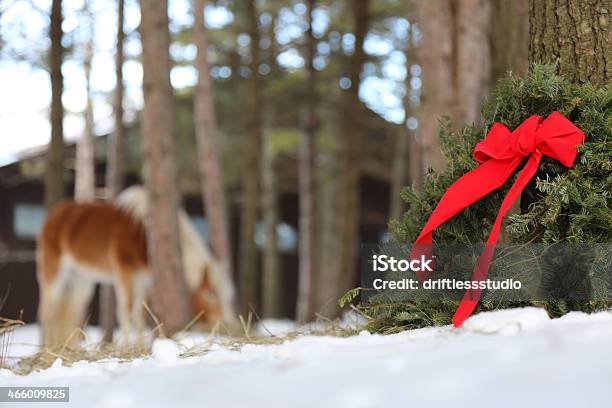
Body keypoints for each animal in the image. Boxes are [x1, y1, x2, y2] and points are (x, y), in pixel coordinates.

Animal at [36, 186, 237, 346]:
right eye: (211, 294)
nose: (228, 323)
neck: (143, 236)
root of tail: (55, 213)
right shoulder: (125, 274)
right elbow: (125, 311)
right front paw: (125, 347)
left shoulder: (144, 280)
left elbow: (139, 314)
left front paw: (138, 346)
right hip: (54, 272)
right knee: (47, 311)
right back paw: (46, 350)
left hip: (82, 278)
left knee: (73, 312)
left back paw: (73, 350)